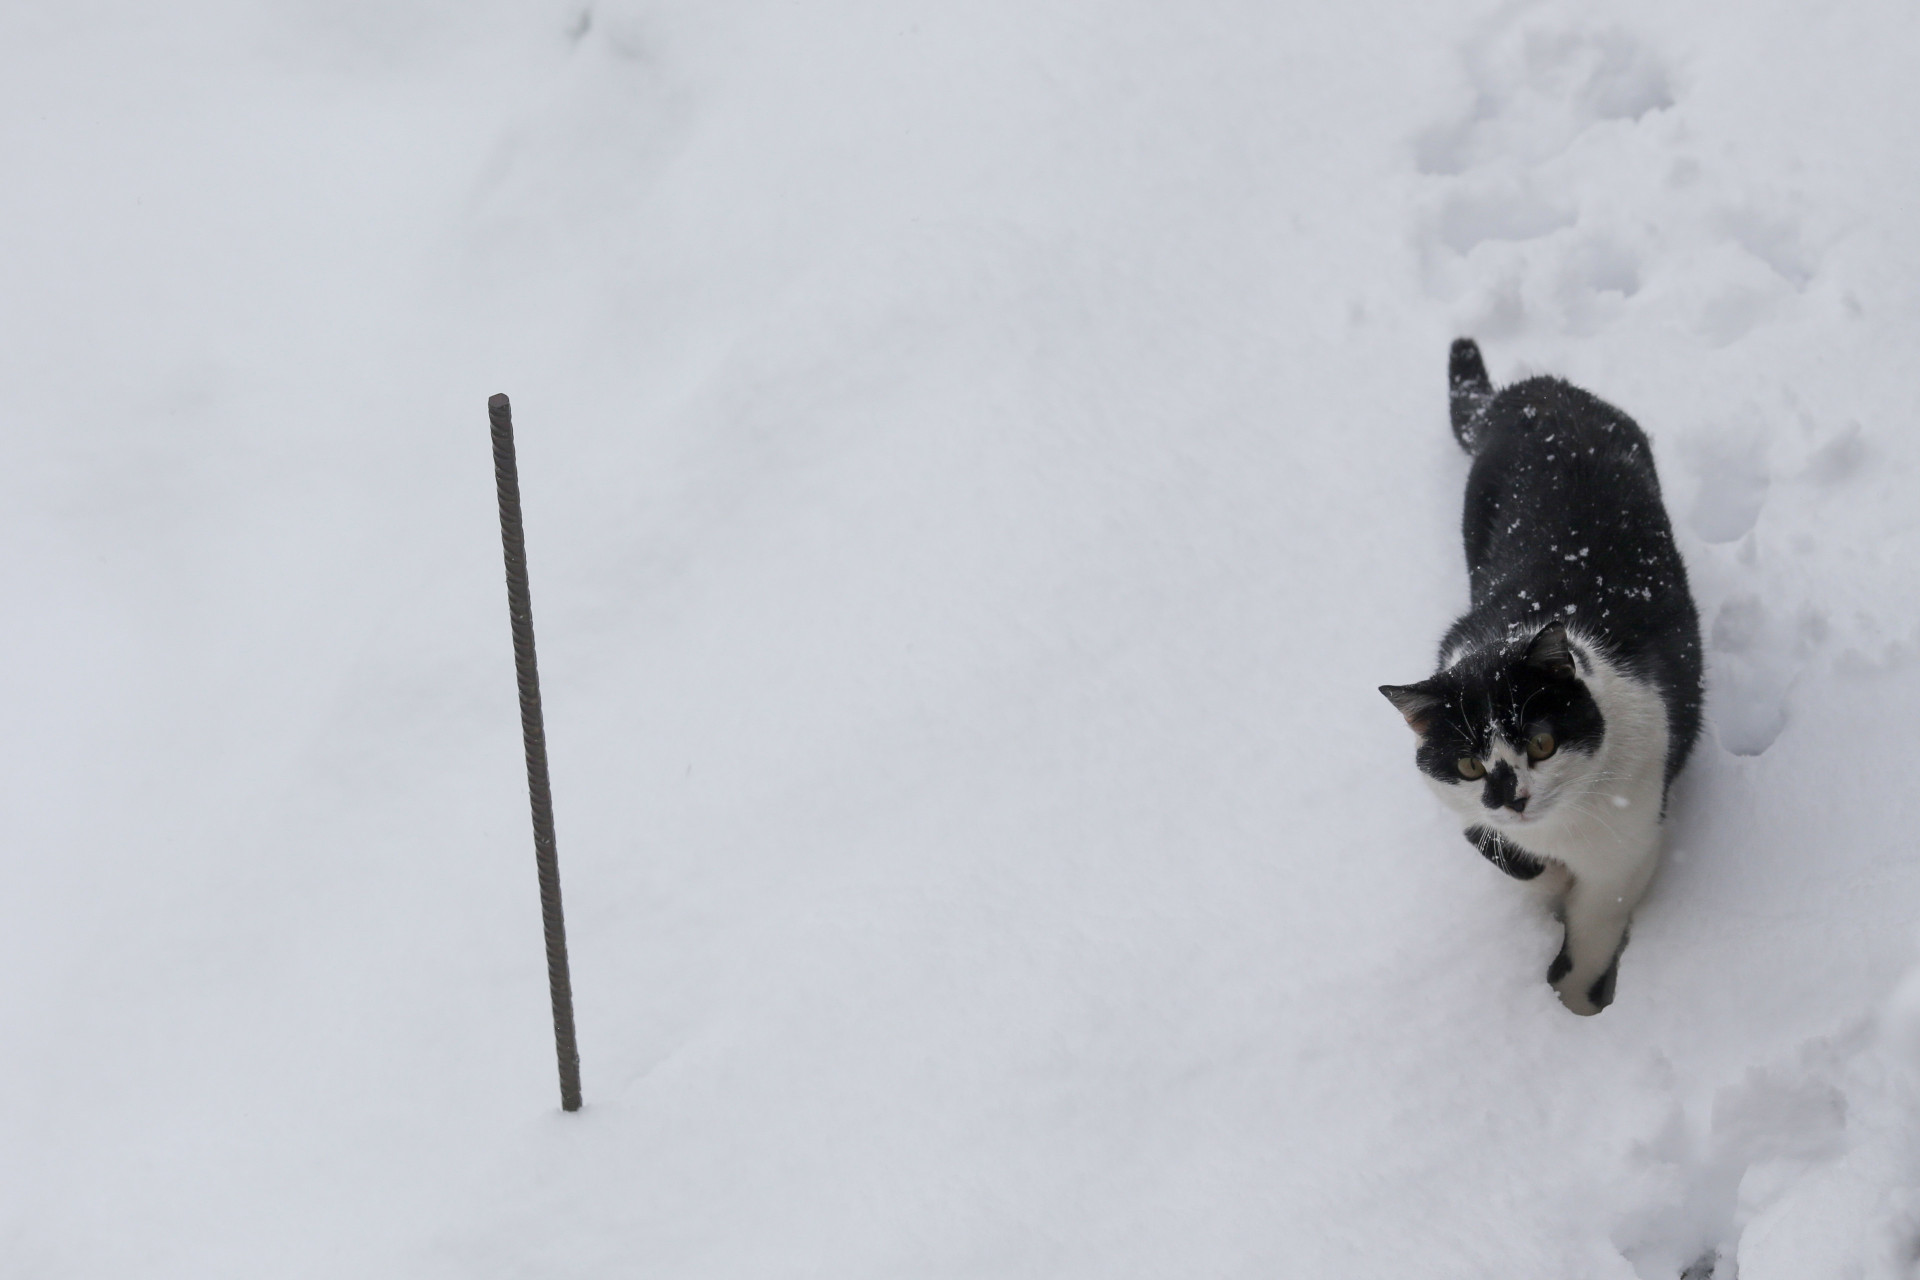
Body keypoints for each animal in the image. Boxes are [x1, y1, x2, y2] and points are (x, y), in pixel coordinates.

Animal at [1382, 343, 1712, 1020]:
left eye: (1541, 742)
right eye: (1468, 766)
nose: (1512, 797)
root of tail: (1534, 389)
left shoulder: (1629, 845)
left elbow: (1593, 931)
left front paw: (1577, 1009)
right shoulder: (1468, 813)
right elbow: (1504, 851)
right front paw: (1546, 885)